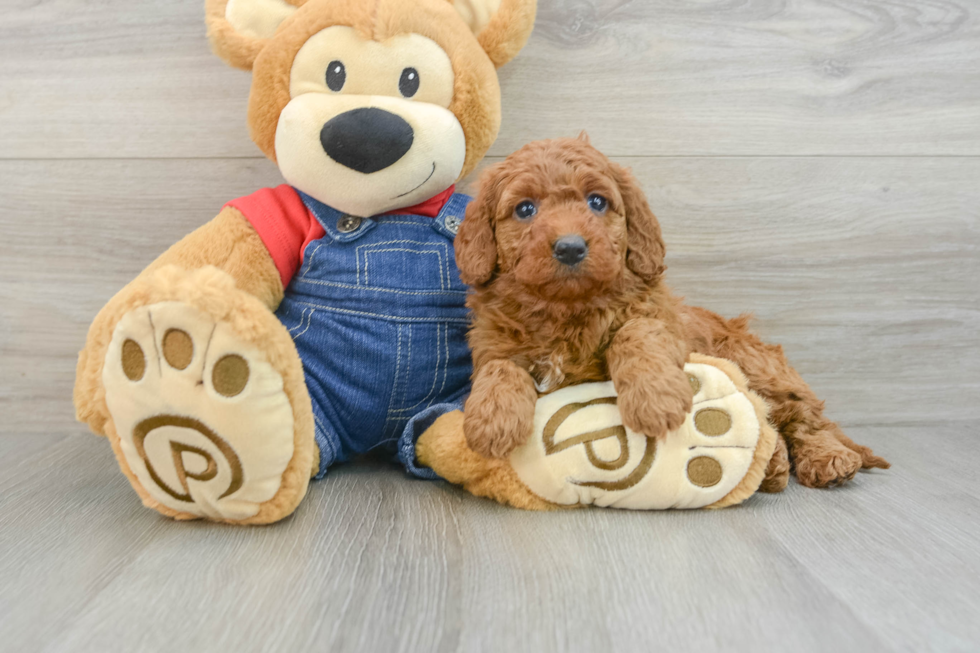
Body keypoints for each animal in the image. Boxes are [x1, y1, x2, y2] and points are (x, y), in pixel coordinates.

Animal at [456, 135, 892, 486]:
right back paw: (774, 467)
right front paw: (491, 420)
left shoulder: (664, 324)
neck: (567, 309)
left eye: (597, 202)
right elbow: (500, 367)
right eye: (525, 209)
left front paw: (654, 400)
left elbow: (636, 332)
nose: (570, 247)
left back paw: (828, 458)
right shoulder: (491, 342)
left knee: (804, 419)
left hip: (758, 366)